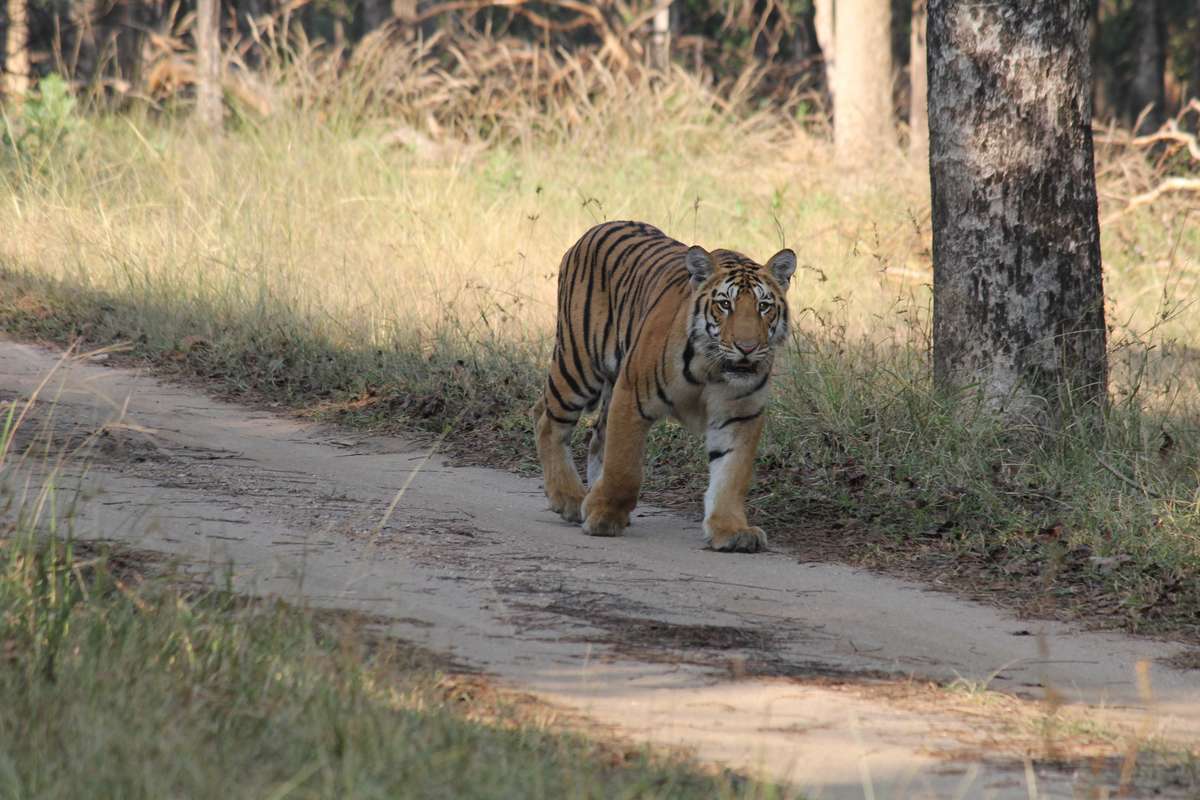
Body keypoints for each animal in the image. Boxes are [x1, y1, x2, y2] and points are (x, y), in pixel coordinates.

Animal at [533, 220, 796, 553]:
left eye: (763, 306)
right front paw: (605, 517)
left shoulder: (741, 415)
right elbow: (625, 467)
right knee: (547, 420)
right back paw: (570, 498)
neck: (712, 368)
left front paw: (731, 530)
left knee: (595, 436)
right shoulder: (631, 395)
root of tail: (595, 229)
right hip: (578, 364)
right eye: (725, 304)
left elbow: (731, 476)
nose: (747, 348)